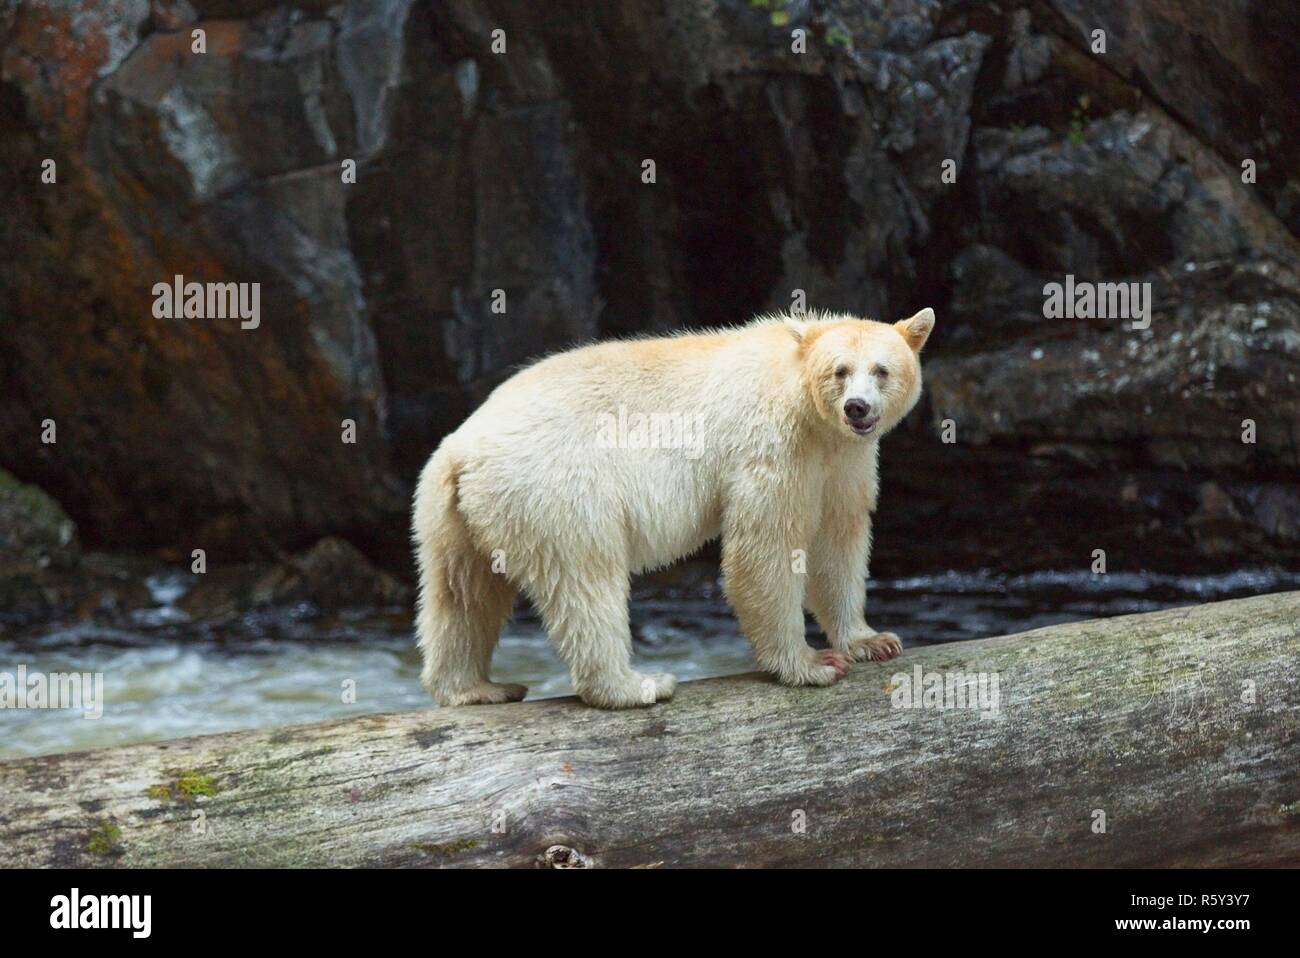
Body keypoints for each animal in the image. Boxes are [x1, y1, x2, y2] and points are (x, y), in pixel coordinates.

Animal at [416, 310, 935, 707]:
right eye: (840, 370)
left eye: (882, 370)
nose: (857, 408)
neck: (802, 397)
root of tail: (462, 448)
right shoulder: (774, 446)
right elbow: (765, 549)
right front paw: (811, 663)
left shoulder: (844, 461)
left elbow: (838, 539)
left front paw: (872, 641)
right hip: (557, 486)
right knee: (586, 580)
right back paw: (636, 685)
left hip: (452, 512)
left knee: (462, 592)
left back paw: (475, 687)